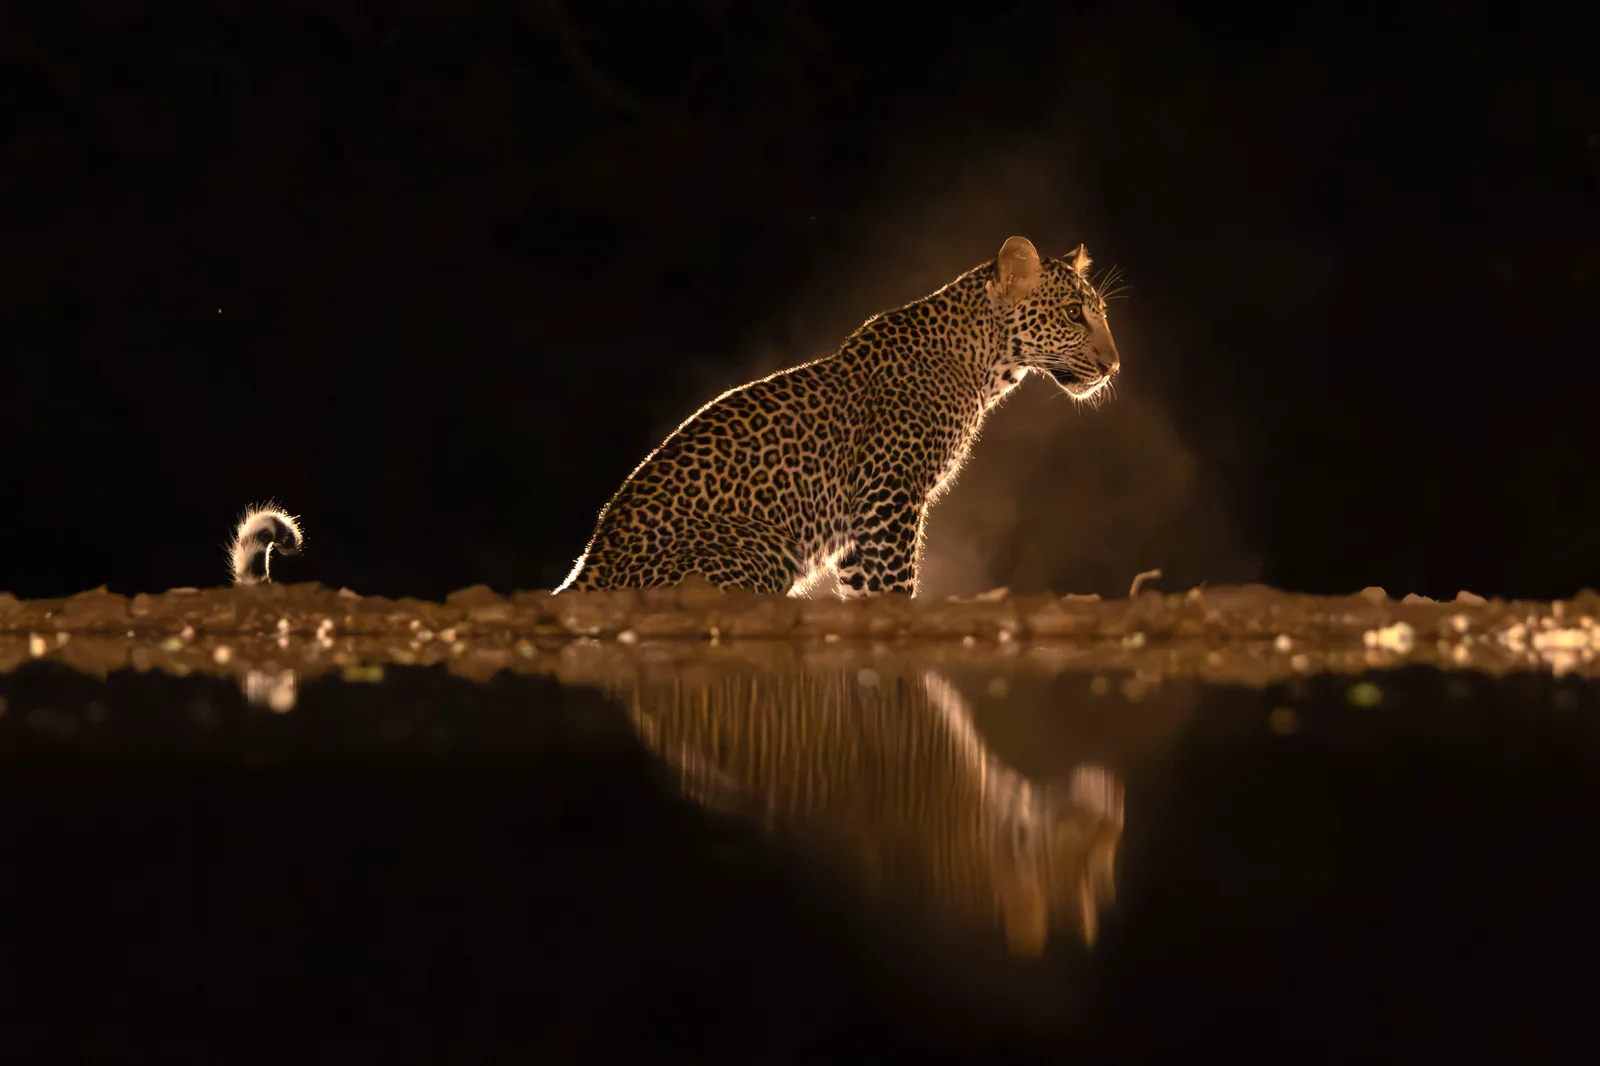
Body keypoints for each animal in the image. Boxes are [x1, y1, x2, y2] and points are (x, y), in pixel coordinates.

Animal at [556, 235, 1124, 598]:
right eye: (1074, 314)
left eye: (1097, 313)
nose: (1113, 366)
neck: (982, 362)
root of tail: (588, 568)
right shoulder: (888, 494)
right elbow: (895, 586)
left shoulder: (858, 527)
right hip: (763, 545)